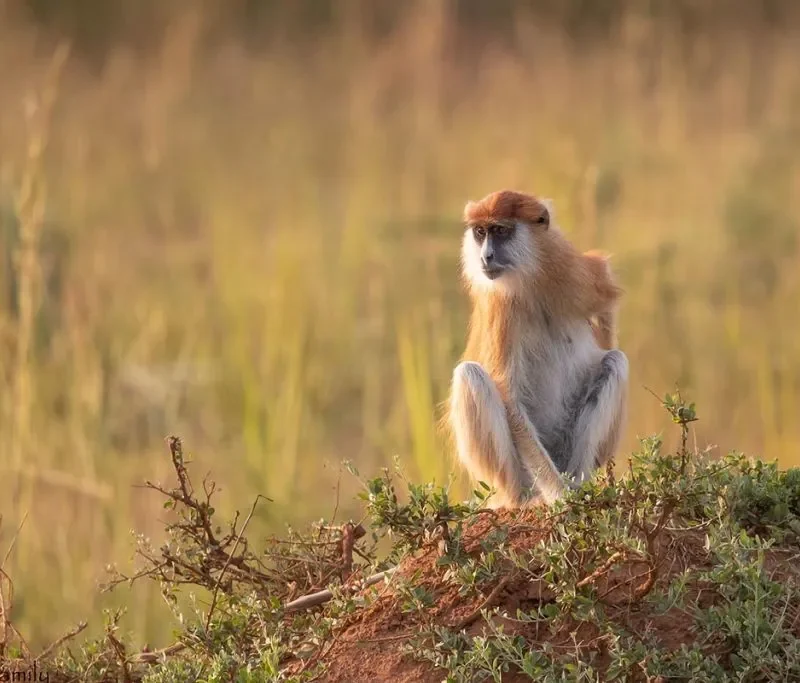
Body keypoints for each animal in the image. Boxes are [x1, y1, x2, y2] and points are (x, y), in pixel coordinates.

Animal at [447, 189, 628, 509]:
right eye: (480, 232)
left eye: (500, 231)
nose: (486, 256)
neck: (529, 278)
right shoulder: (500, 304)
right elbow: (509, 398)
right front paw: (559, 497)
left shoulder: (568, 268)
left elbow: (604, 288)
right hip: (512, 476)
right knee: (470, 375)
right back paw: (525, 500)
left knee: (614, 362)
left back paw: (580, 484)